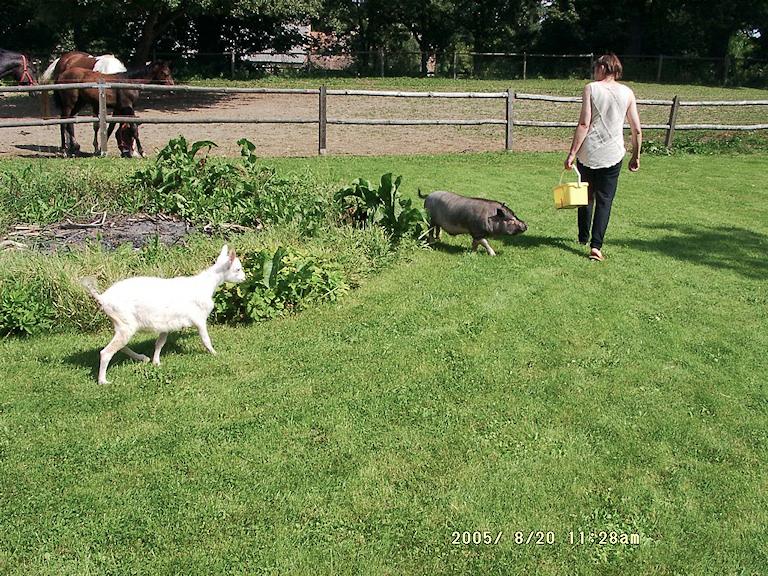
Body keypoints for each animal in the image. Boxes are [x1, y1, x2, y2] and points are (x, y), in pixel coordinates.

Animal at [81, 245, 244, 384]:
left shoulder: (166, 323)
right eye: (237, 269)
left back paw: (143, 358)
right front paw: (215, 353)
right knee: (106, 352)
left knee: (119, 346)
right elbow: (205, 339)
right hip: (126, 324)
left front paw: (156, 362)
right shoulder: (199, 318)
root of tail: (103, 298)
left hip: (122, 324)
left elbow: (160, 342)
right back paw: (103, 381)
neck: (206, 285)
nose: (244, 278)